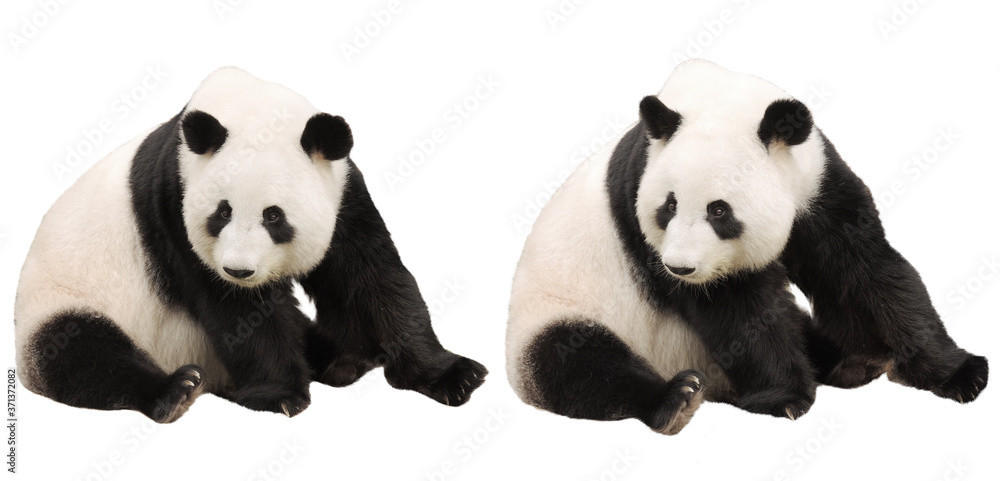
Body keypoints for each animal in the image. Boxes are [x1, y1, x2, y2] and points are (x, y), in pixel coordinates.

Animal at [14, 67, 487, 423]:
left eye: (273, 216)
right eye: (221, 213)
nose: (239, 270)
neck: (252, 106)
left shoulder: (343, 192)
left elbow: (371, 276)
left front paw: (451, 375)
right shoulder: (174, 204)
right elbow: (237, 311)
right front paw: (280, 395)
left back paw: (345, 359)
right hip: (60, 302)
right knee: (80, 352)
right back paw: (176, 391)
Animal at [506, 59, 988, 435]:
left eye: (719, 211)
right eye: (669, 205)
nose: (679, 268)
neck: (717, 97)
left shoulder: (816, 182)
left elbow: (864, 269)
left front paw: (959, 373)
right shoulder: (639, 195)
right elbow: (737, 307)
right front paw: (786, 398)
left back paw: (853, 361)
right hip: (554, 314)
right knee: (574, 362)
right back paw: (676, 399)